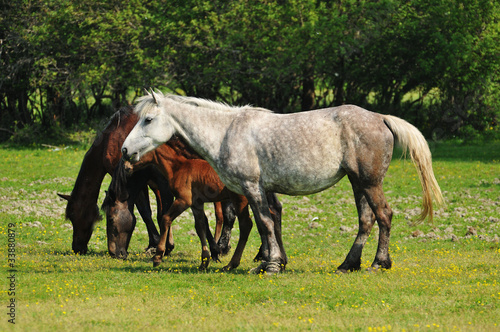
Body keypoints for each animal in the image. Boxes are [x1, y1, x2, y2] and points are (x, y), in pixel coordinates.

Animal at [57, 106, 175, 254]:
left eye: (73, 216)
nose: (77, 248)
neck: (111, 138)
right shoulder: (153, 182)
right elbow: (160, 211)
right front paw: (165, 244)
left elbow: (146, 212)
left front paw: (155, 243)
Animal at [120, 137, 286, 270]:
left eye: (138, 150)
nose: (126, 167)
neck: (178, 167)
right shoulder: (196, 204)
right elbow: (200, 227)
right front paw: (204, 261)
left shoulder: (183, 200)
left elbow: (166, 219)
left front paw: (158, 256)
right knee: (272, 216)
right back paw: (281, 261)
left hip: (240, 200)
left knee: (247, 225)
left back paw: (232, 264)